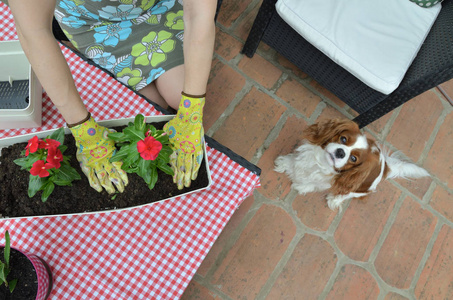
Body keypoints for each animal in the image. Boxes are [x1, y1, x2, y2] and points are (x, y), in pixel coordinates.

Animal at [274, 118, 430, 210]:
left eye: (354, 159)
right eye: (343, 139)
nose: (340, 152)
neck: (321, 164)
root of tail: (385, 166)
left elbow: (312, 184)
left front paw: (302, 186)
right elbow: (294, 161)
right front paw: (285, 164)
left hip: (361, 189)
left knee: (348, 194)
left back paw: (334, 200)